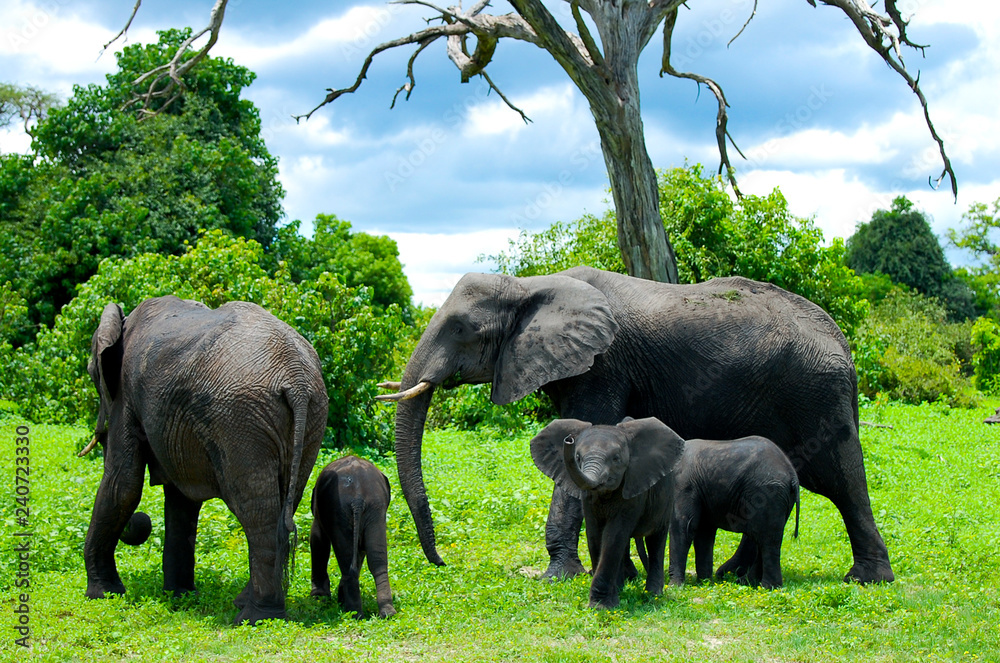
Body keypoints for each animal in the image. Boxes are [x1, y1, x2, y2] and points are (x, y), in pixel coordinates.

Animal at [83, 296, 328, 625]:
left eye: (90, 372)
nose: (141, 524)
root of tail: (297, 380)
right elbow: (181, 499)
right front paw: (179, 596)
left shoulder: (126, 395)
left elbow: (123, 485)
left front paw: (103, 595)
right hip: (311, 415)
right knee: (282, 503)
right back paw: (246, 605)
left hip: (239, 420)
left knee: (256, 510)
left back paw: (254, 617)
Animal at [310, 455, 396, 619]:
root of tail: (358, 499)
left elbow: (317, 538)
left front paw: (320, 597)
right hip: (373, 509)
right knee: (376, 559)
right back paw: (386, 612)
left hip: (341, 511)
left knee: (346, 558)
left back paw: (354, 613)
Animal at [531, 417, 684, 608]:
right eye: (578, 458)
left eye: (616, 459)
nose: (569, 440)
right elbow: (595, 535)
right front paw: (611, 599)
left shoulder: (633, 490)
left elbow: (613, 535)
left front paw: (601, 607)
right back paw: (622, 586)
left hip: (666, 499)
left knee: (655, 540)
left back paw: (653, 595)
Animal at [669, 436, 800, 589]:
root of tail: (792, 475)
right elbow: (704, 532)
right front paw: (705, 583)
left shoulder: (683, 484)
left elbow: (684, 527)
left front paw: (674, 587)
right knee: (763, 540)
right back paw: (747, 582)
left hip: (768, 495)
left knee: (768, 541)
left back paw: (767, 587)